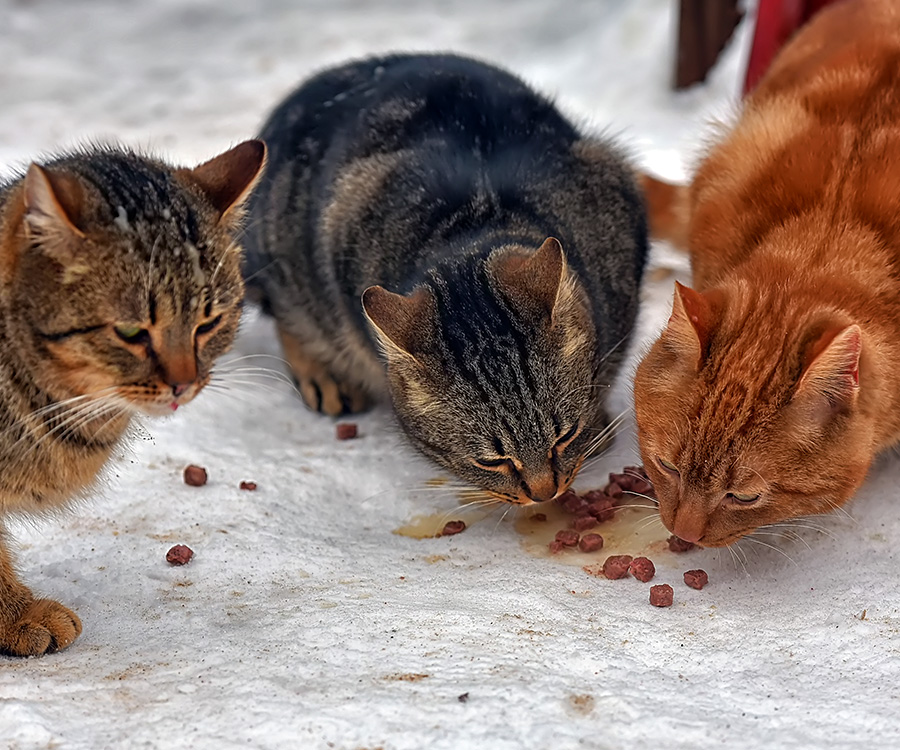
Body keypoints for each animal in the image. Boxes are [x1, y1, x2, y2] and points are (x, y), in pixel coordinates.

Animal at [241, 55, 648, 508]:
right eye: (492, 461)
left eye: (565, 436)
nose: (544, 494)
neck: (475, 220)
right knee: (287, 313)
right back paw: (324, 376)